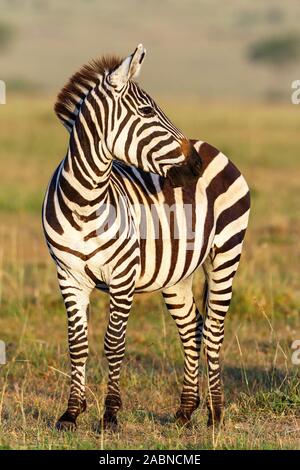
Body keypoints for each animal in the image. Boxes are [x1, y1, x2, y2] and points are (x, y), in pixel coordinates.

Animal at [42, 45, 251, 434]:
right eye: (146, 112)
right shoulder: (68, 277)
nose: (195, 166)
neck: (84, 202)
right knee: (192, 329)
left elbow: (114, 344)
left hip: (226, 254)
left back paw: (215, 414)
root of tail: (209, 146)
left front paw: (110, 415)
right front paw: (70, 414)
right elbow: (77, 345)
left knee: (214, 330)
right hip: (176, 275)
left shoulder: (122, 276)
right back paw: (185, 411)